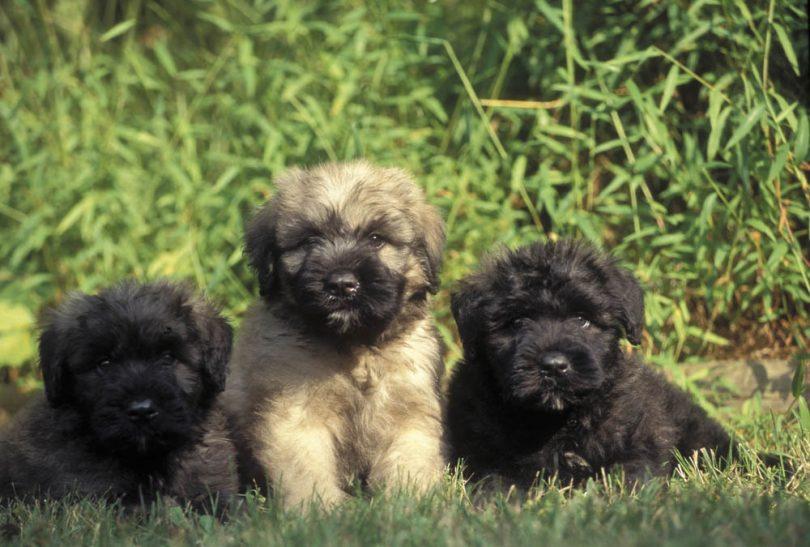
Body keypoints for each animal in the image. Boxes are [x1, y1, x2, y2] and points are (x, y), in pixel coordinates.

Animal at [224, 159, 446, 510]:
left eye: (376, 238)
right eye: (308, 241)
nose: (341, 284)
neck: (354, 348)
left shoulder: (408, 411)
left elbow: (409, 461)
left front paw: (410, 505)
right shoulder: (297, 415)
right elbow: (305, 469)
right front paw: (318, 510)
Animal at [446, 242, 756, 486]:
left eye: (582, 320)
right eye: (517, 322)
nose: (554, 366)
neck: (559, 419)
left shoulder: (637, 443)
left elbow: (628, 476)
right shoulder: (486, 454)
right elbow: (498, 481)